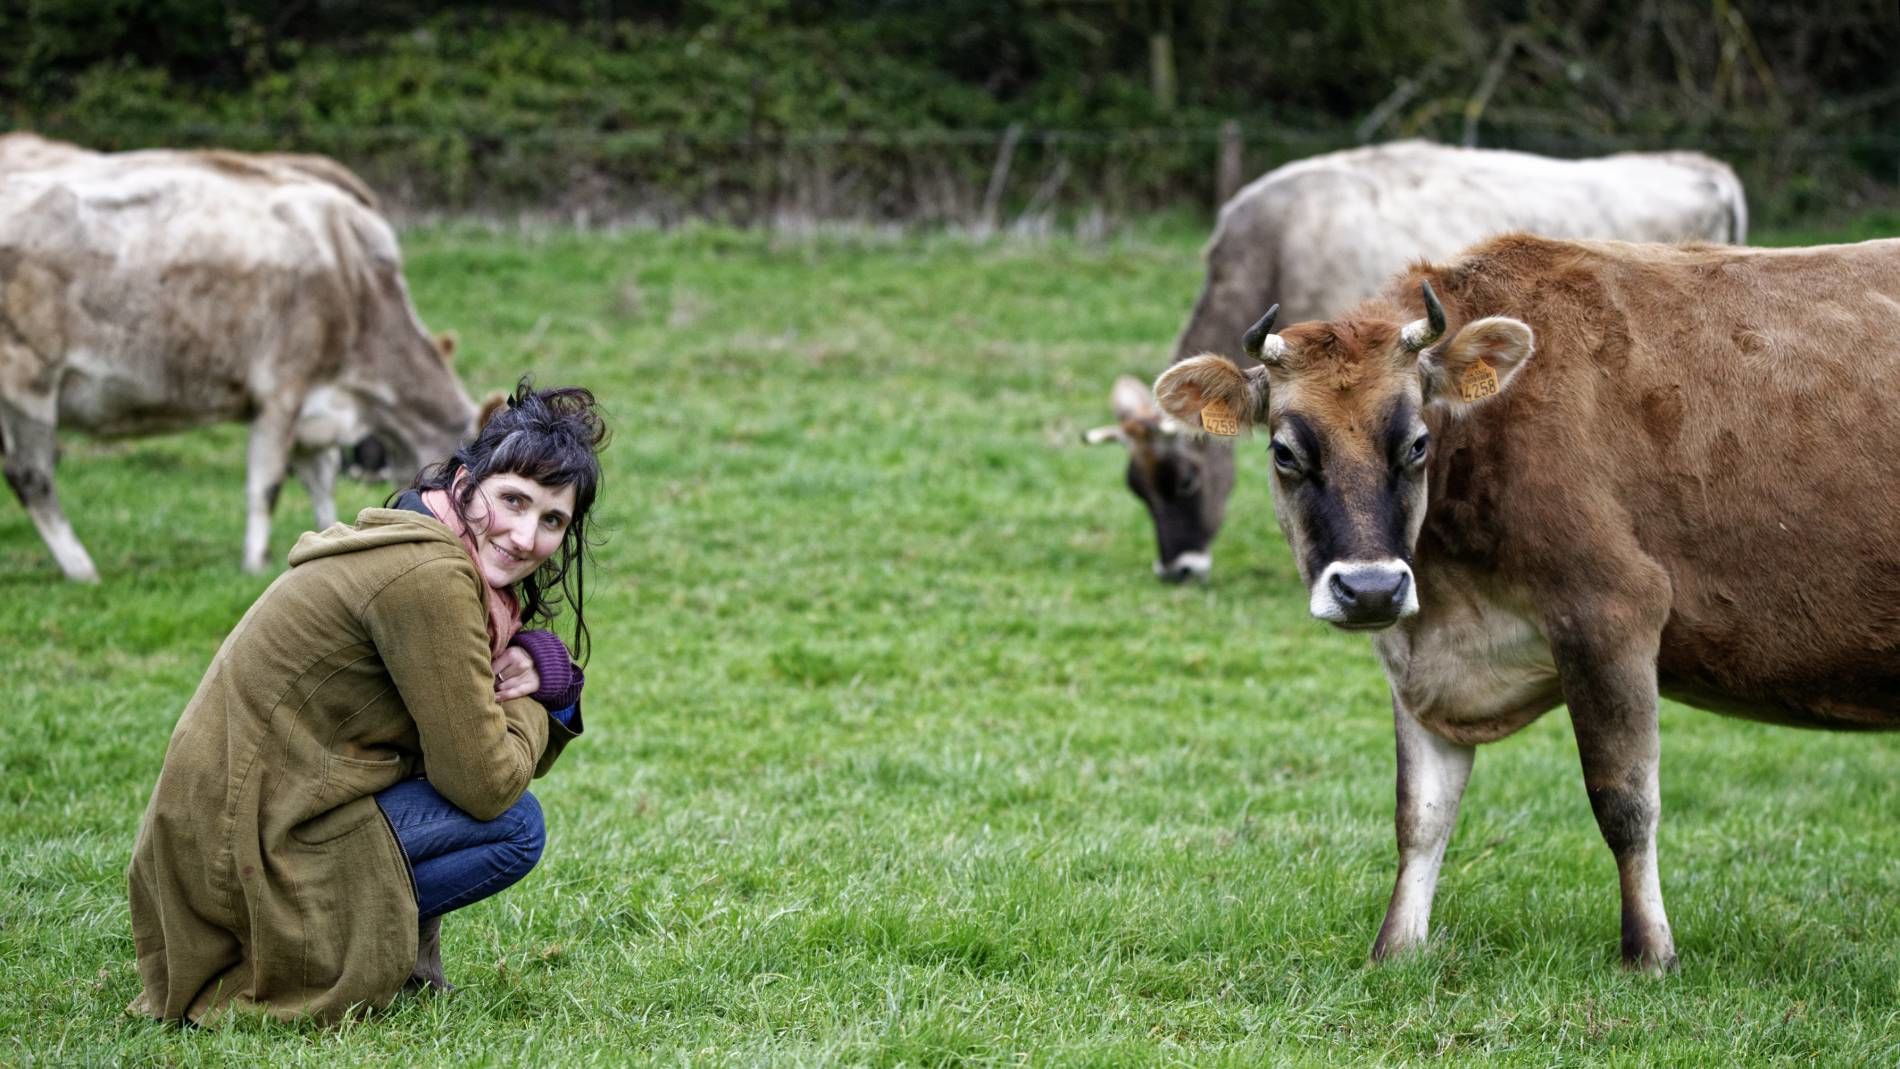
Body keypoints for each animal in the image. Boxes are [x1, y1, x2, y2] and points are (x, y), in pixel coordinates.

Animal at [3, 147, 490, 581]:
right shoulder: (282, 389)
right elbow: (268, 485)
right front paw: (255, 563)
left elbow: (321, 482)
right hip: (29, 381)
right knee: (33, 478)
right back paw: (82, 569)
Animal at [1140, 232, 1900, 972]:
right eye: (1285, 452)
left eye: (1418, 442)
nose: (1371, 587)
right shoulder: (1416, 656)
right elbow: (1420, 813)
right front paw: (1397, 948)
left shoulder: (1612, 610)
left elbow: (1625, 800)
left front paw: (1649, 953)